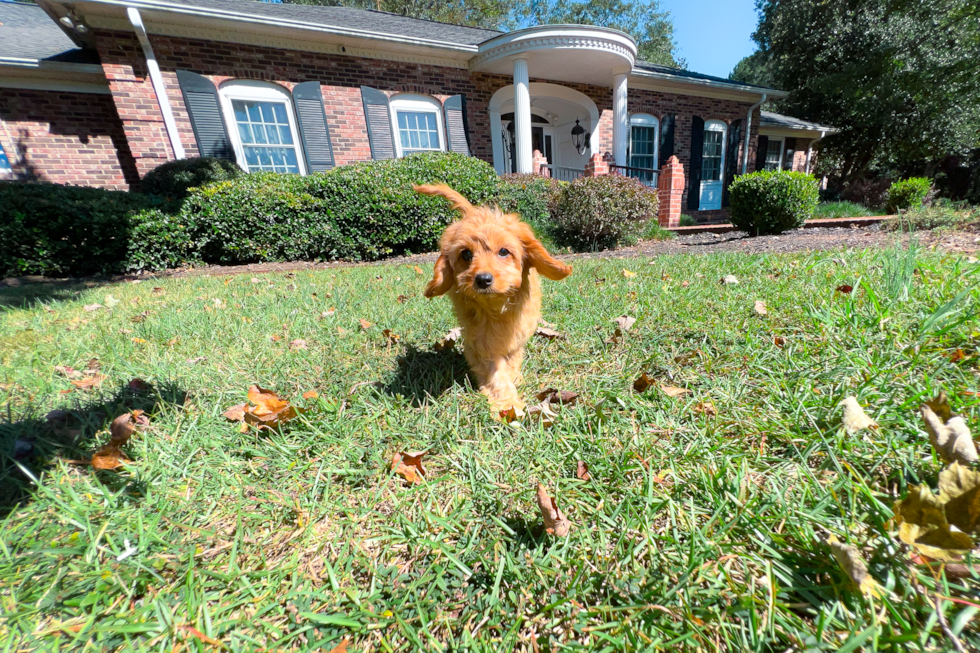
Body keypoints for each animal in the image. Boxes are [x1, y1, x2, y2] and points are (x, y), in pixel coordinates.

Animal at [416, 181, 572, 410]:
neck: (496, 307)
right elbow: (494, 371)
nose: (482, 279)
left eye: (504, 251)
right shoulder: (479, 339)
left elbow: (513, 356)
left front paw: (514, 376)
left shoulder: (519, 331)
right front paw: (508, 404)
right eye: (466, 254)